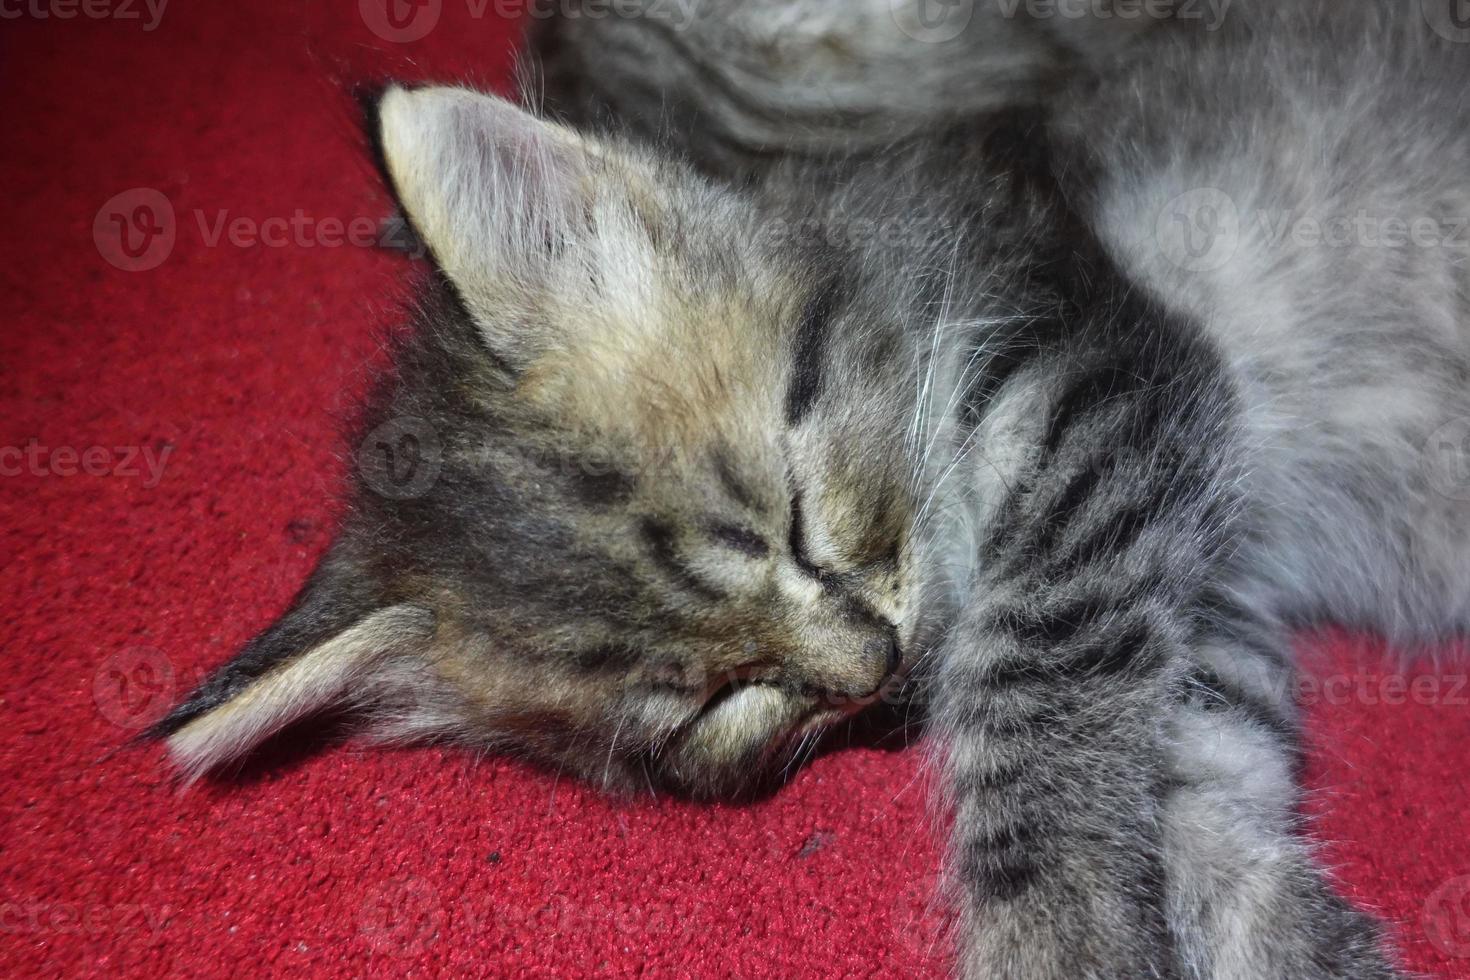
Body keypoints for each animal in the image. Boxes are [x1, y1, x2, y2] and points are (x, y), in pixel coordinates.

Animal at [152, 0, 1470, 975]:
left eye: (792, 513)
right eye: (713, 702)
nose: (875, 668)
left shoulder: (1107, 383)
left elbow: (1036, 694)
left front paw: (1057, 931)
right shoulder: (1192, 563)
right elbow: (1197, 773)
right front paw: (1300, 941)